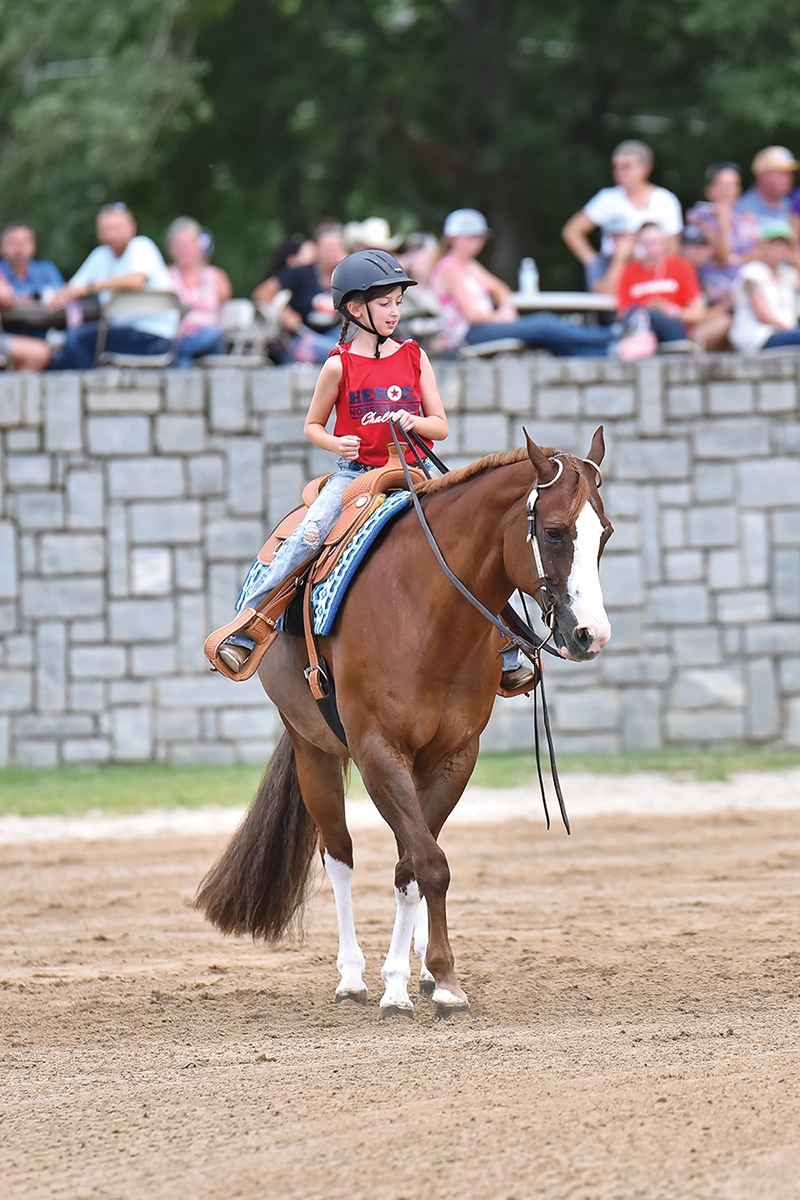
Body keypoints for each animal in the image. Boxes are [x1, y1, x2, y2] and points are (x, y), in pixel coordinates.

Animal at [196, 428, 613, 1018]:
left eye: (605, 534)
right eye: (554, 531)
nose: (590, 635)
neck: (428, 615)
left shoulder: (454, 755)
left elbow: (416, 865)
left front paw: (428, 976)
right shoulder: (377, 752)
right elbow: (427, 863)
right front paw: (426, 984)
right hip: (312, 749)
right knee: (339, 855)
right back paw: (353, 978)